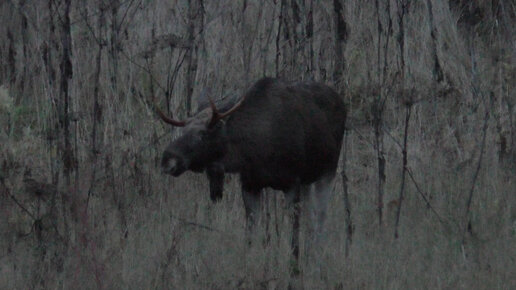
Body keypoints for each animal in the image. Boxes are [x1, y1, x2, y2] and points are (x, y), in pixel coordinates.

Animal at [155, 76, 344, 268]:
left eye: (202, 134)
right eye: (184, 129)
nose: (167, 159)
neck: (255, 151)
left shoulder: (292, 182)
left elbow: (294, 236)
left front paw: (294, 267)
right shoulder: (250, 184)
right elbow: (251, 234)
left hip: (328, 171)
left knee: (320, 216)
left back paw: (317, 257)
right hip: (307, 181)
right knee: (311, 219)